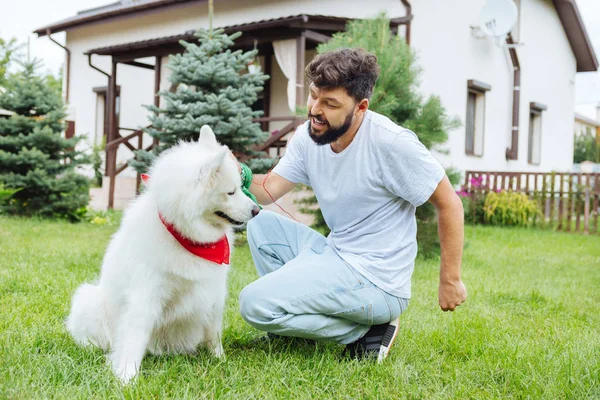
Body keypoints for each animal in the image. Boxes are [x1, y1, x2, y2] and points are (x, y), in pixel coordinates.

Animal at [67, 126, 258, 382]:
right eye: (231, 192)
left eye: (240, 187)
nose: (257, 210)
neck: (187, 238)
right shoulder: (146, 294)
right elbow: (134, 337)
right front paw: (126, 375)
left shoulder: (213, 292)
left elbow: (214, 333)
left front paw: (220, 360)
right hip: (88, 299)